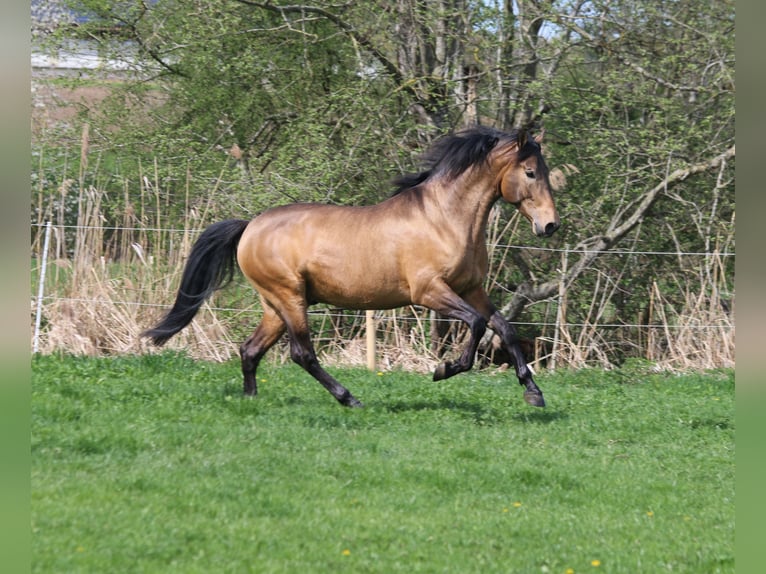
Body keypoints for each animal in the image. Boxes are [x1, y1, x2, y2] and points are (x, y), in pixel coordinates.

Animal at [144, 128, 560, 412]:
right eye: (530, 173)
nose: (550, 225)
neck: (444, 217)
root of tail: (250, 226)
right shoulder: (429, 291)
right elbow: (475, 324)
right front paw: (445, 368)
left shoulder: (472, 288)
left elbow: (503, 327)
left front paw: (533, 391)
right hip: (290, 298)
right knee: (302, 354)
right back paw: (349, 399)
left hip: (274, 305)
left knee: (250, 350)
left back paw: (252, 399)